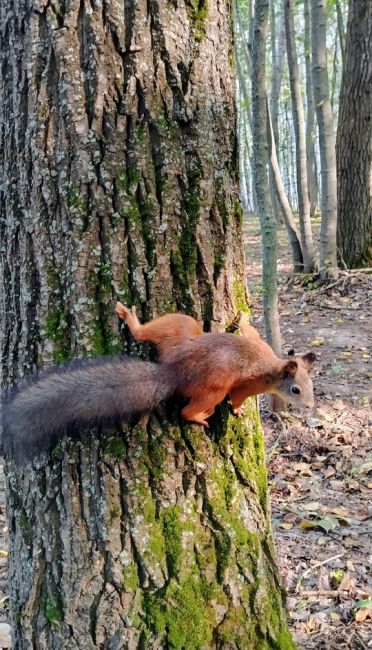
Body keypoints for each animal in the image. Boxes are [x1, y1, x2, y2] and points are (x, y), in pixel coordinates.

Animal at [2, 302, 316, 458]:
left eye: (311, 386)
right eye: (295, 390)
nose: (311, 406)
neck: (273, 366)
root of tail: (174, 370)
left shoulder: (258, 343)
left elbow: (250, 331)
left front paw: (243, 316)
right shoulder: (249, 384)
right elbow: (238, 397)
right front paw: (238, 411)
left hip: (180, 328)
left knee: (148, 333)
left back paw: (132, 321)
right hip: (213, 386)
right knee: (188, 410)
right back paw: (199, 416)